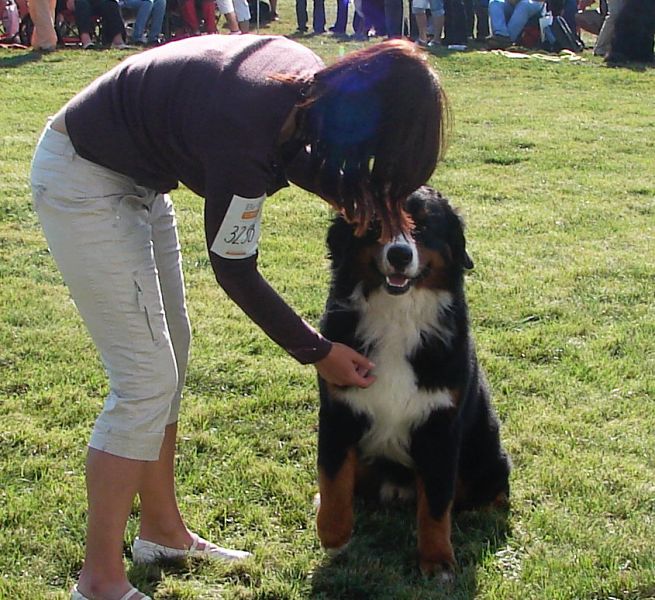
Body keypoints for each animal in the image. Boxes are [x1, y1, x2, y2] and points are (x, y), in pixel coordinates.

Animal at [316, 185, 512, 580]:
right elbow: (333, 479)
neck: (397, 315)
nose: (400, 254)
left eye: (422, 227)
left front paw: (437, 560)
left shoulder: (440, 427)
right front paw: (332, 532)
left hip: (487, 452)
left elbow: (436, 503)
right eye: (376, 223)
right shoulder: (338, 412)